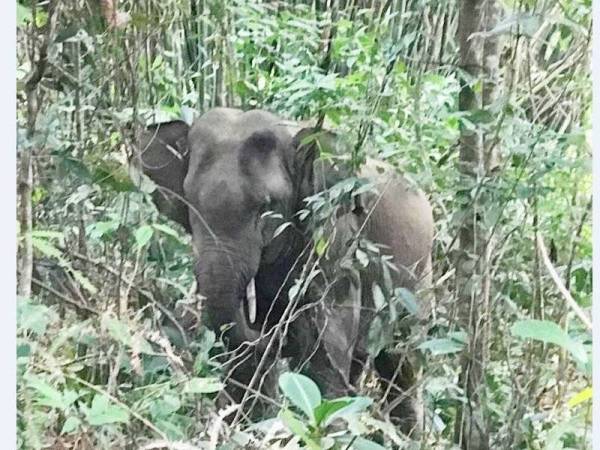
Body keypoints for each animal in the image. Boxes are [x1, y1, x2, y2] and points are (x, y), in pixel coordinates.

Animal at [137, 108, 434, 432]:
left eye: (266, 206)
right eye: (190, 201)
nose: (275, 335)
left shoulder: (334, 242)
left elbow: (326, 348)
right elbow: (243, 358)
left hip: (417, 286)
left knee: (401, 364)